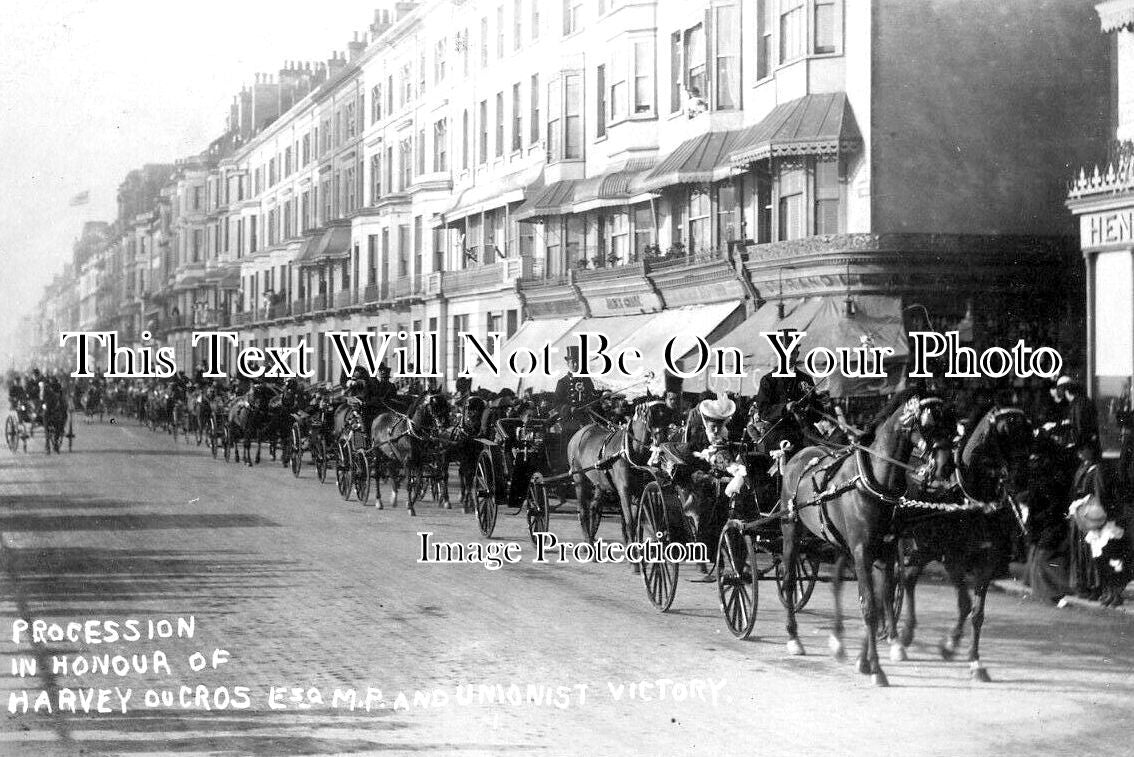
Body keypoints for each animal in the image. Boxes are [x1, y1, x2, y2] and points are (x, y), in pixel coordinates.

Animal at [564, 398, 671, 559]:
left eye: (667, 415)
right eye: (652, 416)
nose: (662, 440)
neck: (627, 451)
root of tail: (580, 433)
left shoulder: (639, 491)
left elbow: (640, 521)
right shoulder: (624, 490)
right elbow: (629, 521)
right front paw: (633, 553)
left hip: (599, 482)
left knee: (593, 508)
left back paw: (590, 540)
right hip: (579, 479)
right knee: (583, 511)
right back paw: (588, 544)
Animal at [775, 389, 952, 684]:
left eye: (951, 422)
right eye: (928, 424)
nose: (945, 468)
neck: (873, 481)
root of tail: (801, 454)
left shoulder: (887, 549)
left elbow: (884, 597)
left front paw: (883, 649)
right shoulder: (862, 551)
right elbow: (869, 606)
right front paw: (876, 668)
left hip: (838, 541)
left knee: (836, 582)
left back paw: (837, 640)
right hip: (791, 530)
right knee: (788, 580)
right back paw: (793, 637)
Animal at [884, 405, 1038, 675]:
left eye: (1029, 438)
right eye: (1005, 435)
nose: (1020, 483)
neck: (972, 499)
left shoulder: (988, 561)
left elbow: (977, 613)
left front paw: (973, 658)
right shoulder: (953, 559)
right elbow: (965, 604)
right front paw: (950, 645)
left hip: (925, 546)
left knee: (909, 578)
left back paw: (907, 633)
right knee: (892, 582)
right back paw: (895, 635)